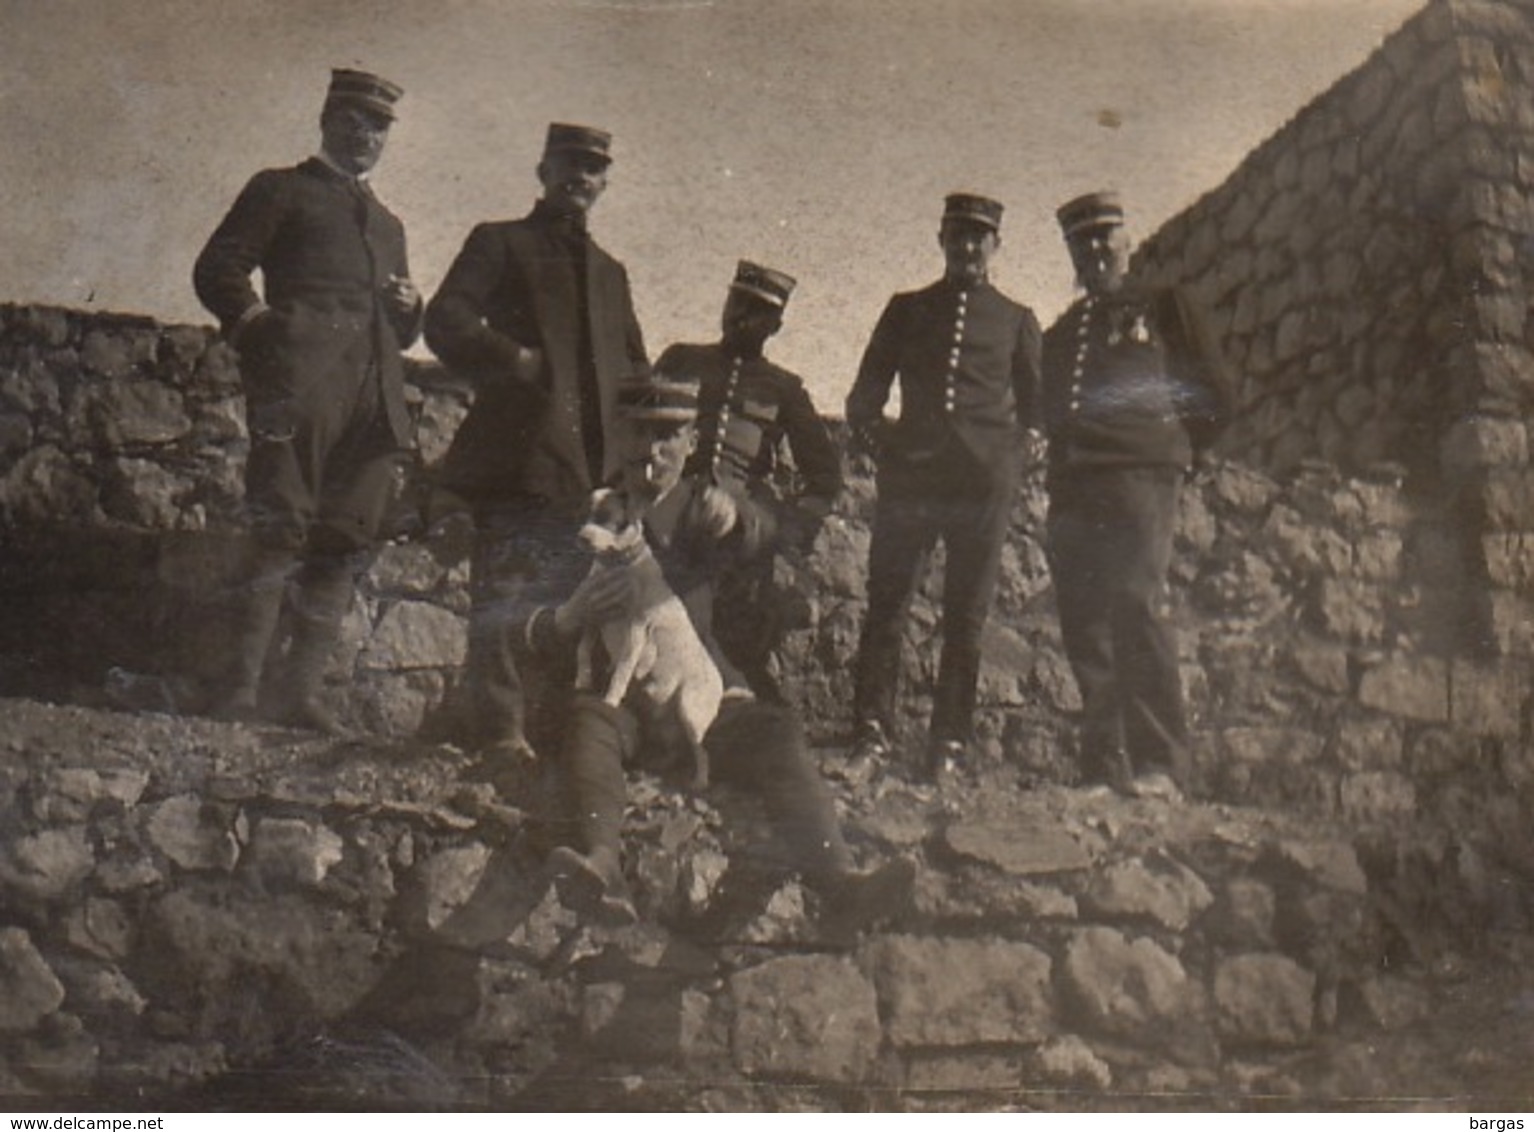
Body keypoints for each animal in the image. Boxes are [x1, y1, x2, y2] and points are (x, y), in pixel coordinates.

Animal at [576, 484, 724, 785]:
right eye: (585, 513)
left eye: (606, 516)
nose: (581, 537)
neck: (617, 565)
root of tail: (721, 685)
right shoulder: (594, 615)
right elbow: (583, 649)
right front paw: (583, 679)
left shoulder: (636, 630)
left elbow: (621, 672)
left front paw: (609, 702)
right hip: (670, 723)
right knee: (678, 748)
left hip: (690, 712)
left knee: (701, 751)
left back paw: (699, 782)